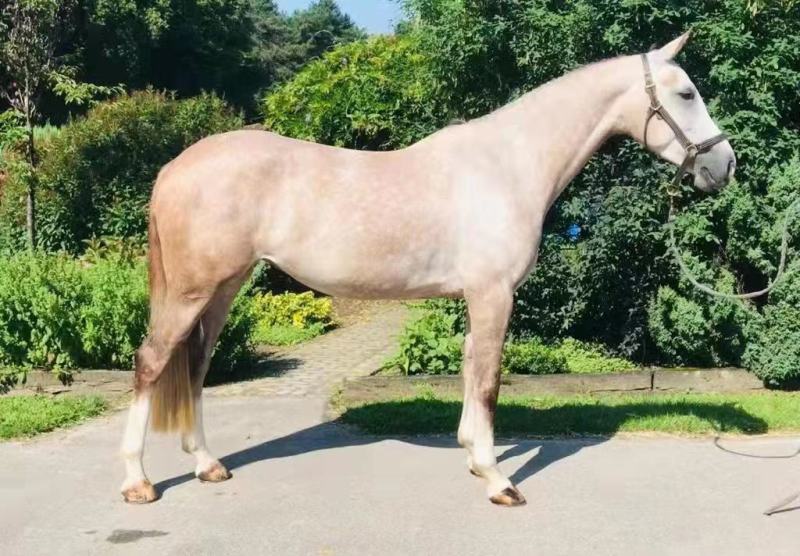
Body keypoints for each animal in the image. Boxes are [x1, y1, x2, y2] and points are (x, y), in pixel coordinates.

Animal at [120, 33, 736, 507]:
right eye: (686, 92)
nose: (723, 165)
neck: (507, 165)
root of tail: (175, 166)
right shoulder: (493, 295)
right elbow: (488, 380)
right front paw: (498, 481)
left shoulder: (475, 298)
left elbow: (469, 371)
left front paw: (473, 459)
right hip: (193, 291)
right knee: (152, 362)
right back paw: (138, 483)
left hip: (223, 287)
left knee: (196, 365)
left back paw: (207, 465)